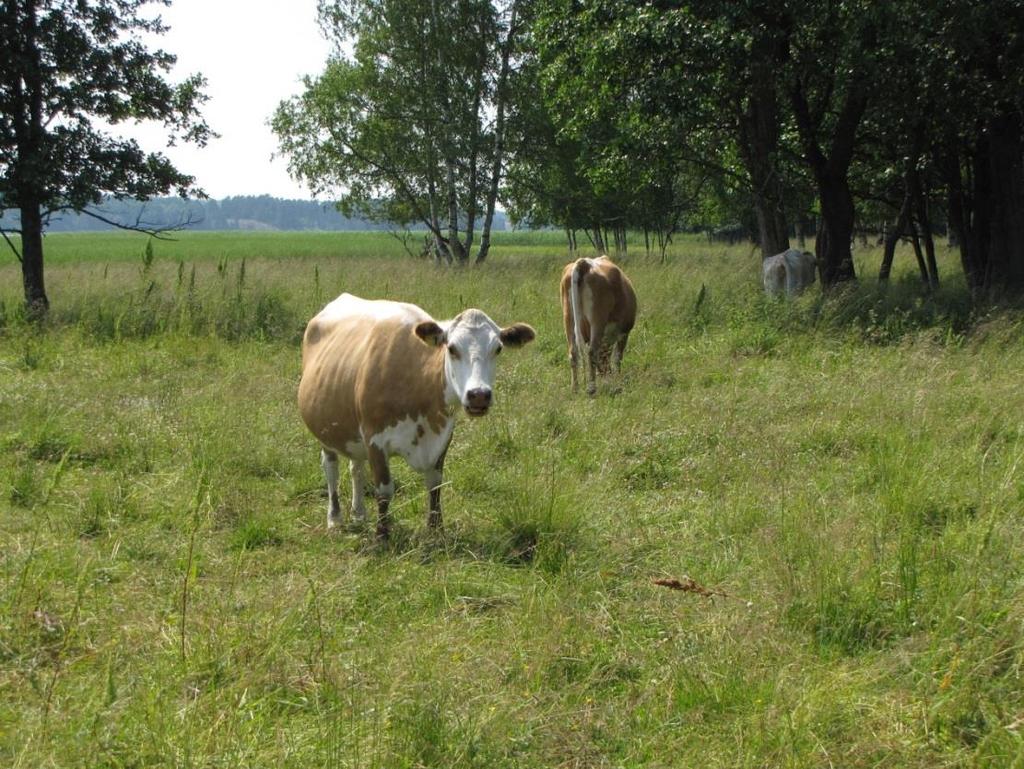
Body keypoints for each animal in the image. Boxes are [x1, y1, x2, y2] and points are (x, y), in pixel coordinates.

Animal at [296, 294, 536, 540]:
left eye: (498, 349)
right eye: (452, 348)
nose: (479, 395)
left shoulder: (443, 437)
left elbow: (435, 485)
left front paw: (436, 530)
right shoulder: (375, 438)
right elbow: (384, 490)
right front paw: (382, 535)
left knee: (356, 468)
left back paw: (359, 513)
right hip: (325, 430)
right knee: (331, 468)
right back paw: (335, 518)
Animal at [561, 255, 638, 393]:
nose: (605, 374)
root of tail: (585, 263)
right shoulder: (624, 333)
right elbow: (618, 357)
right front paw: (617, 378)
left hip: (568, 319)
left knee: (573, 353)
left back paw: (575, 389)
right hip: (597, 321)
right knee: (592, 352)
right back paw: (591, 388)